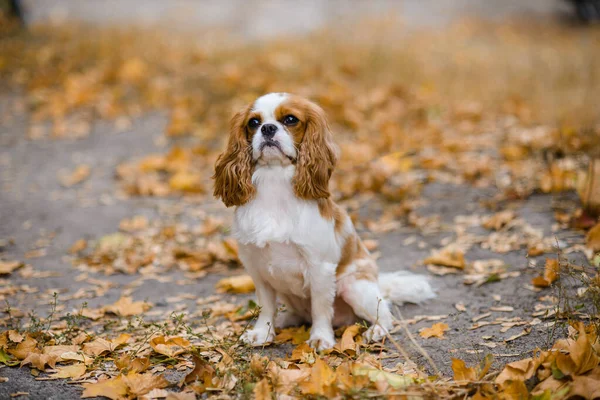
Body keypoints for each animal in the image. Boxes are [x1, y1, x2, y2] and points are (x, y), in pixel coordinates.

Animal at [213, 94, 434, 350]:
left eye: (290, 120)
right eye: (254, 122)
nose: (267, 128)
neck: (274, 179)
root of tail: (378, 282)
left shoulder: (319, 267)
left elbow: (320, 308)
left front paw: (320, 338)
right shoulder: (256, 267)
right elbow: (266, 305)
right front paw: (263, 333)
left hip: (354, 286)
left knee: (385, 315)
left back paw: (376, 331)